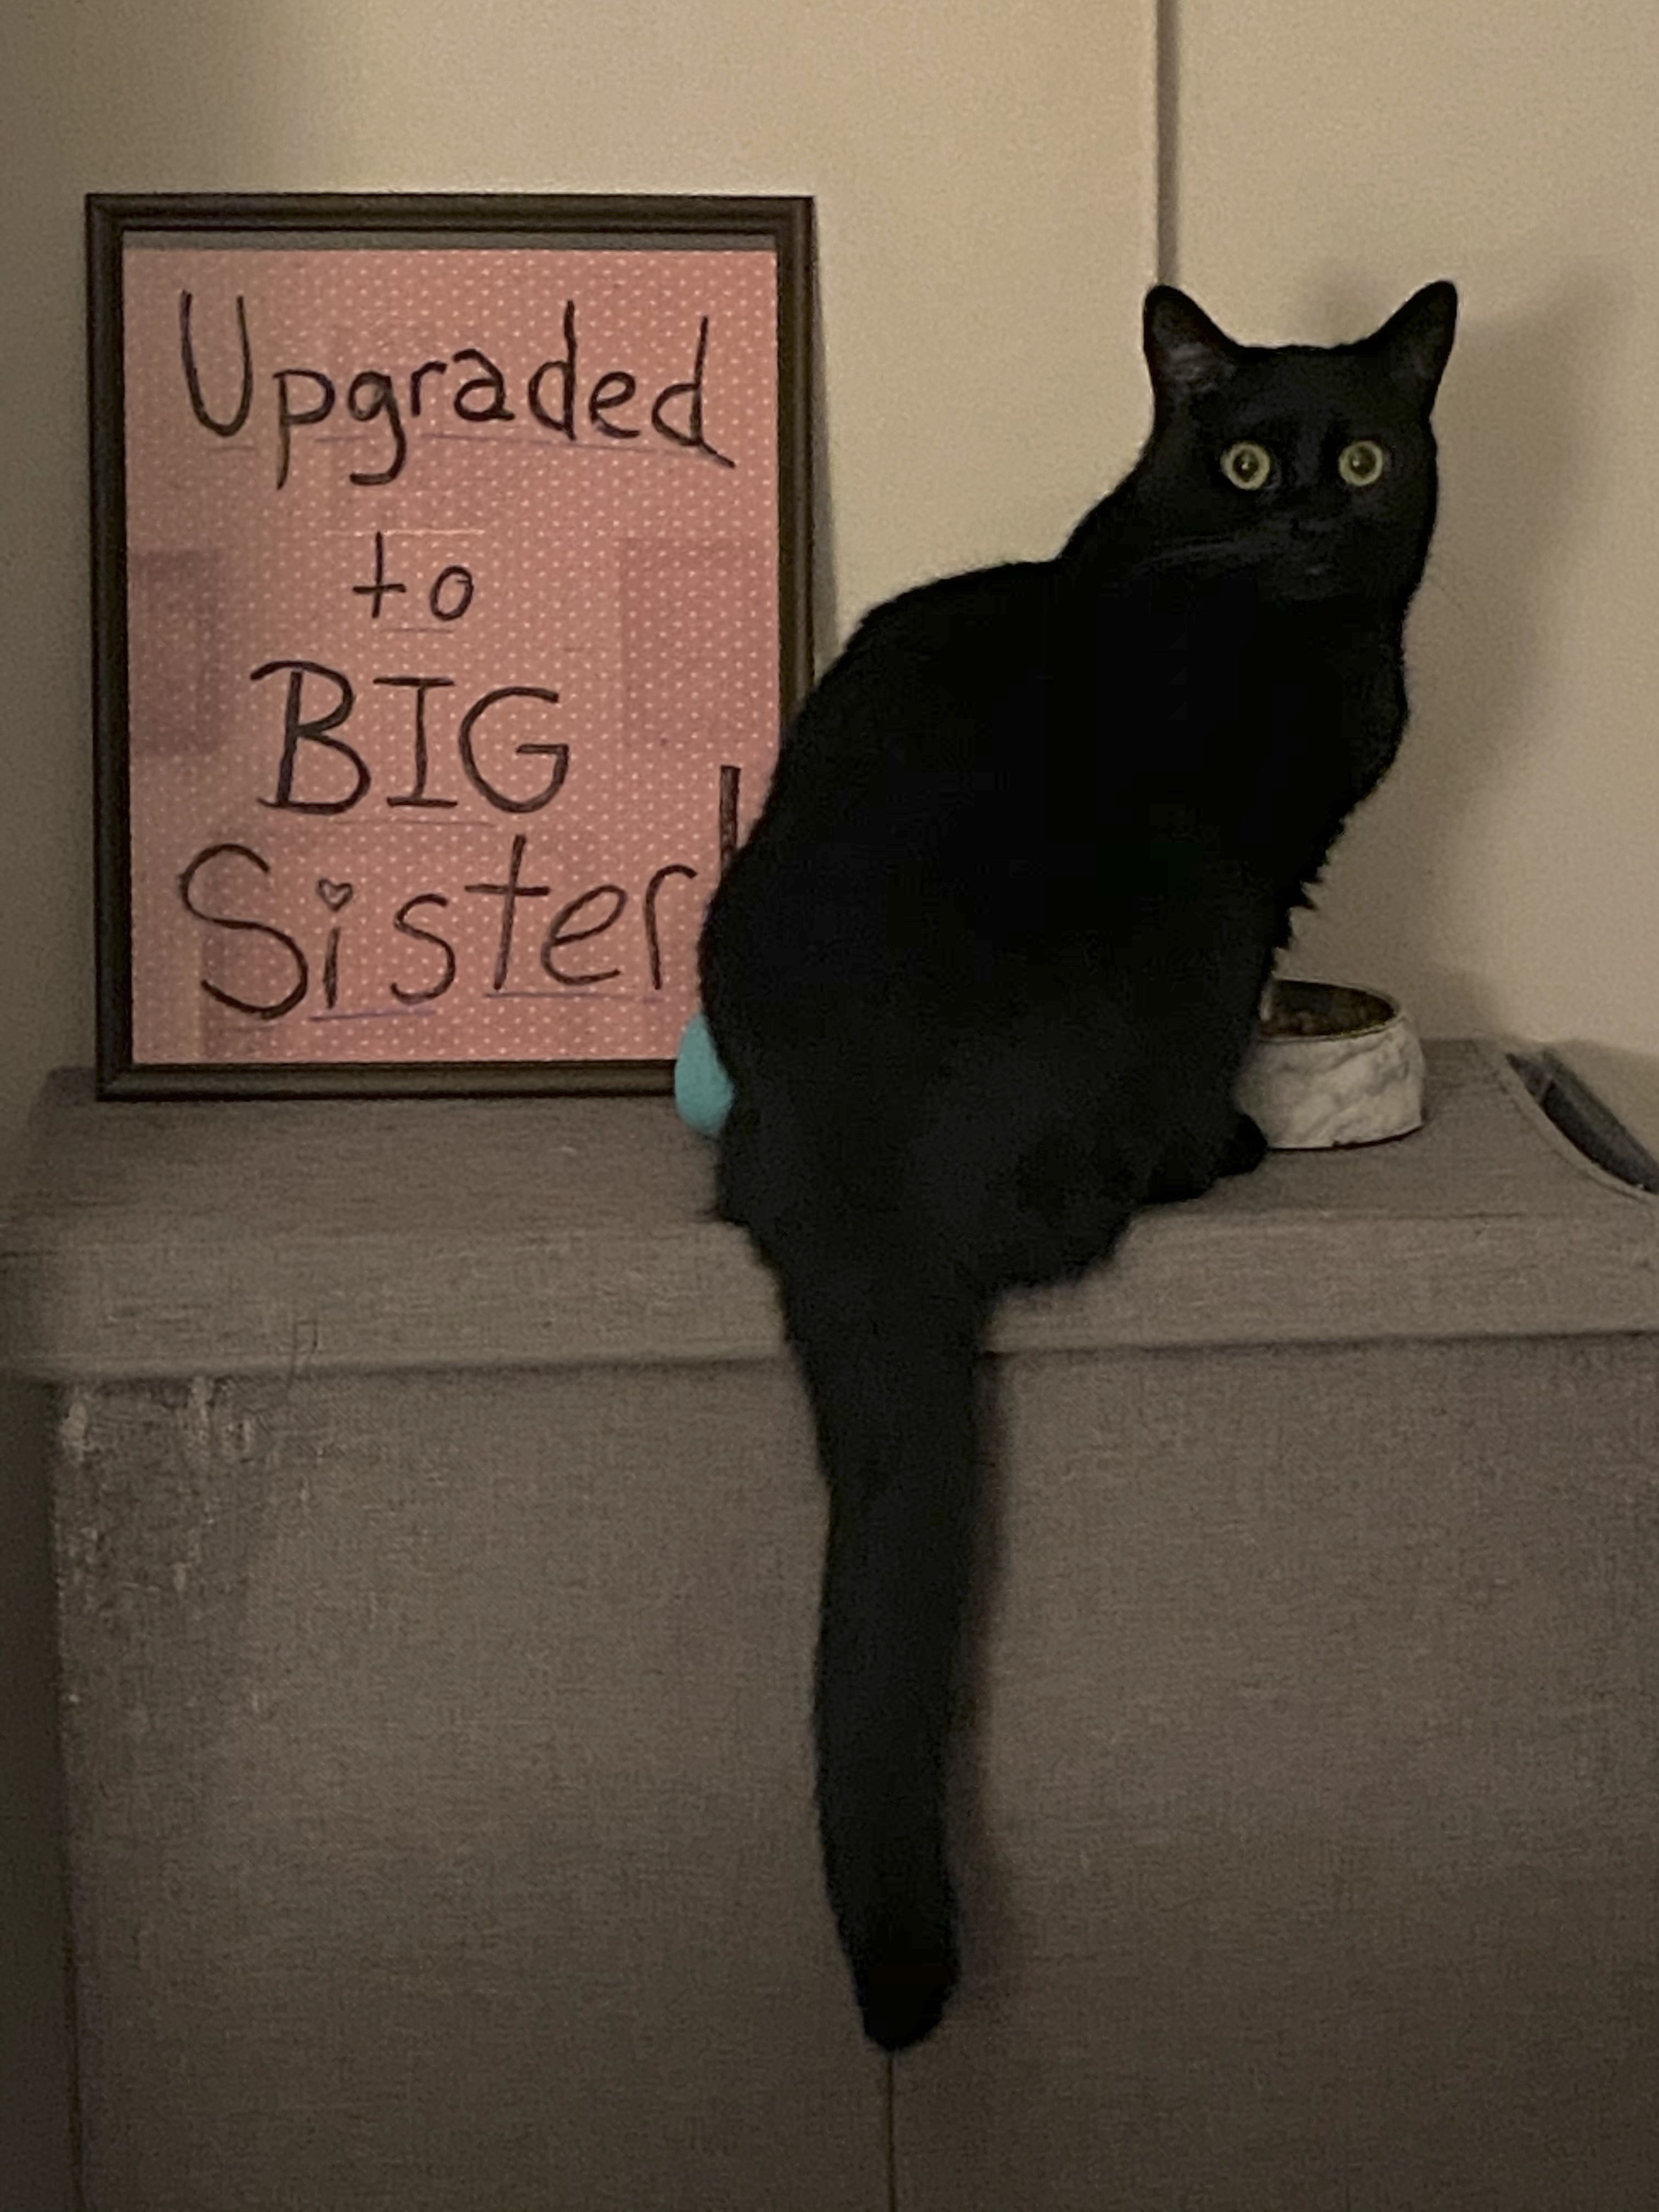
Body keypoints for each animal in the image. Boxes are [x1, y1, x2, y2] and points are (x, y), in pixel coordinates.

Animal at [697, 279, 1457, 2052]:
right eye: (1245, 459)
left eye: (1364, 455)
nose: (1310, 514)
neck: (1313, 639)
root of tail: (855, 1172)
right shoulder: (1250, 878)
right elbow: (1246, 993)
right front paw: (1244, 1118)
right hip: (1166, 924)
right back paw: (1211, 1153)